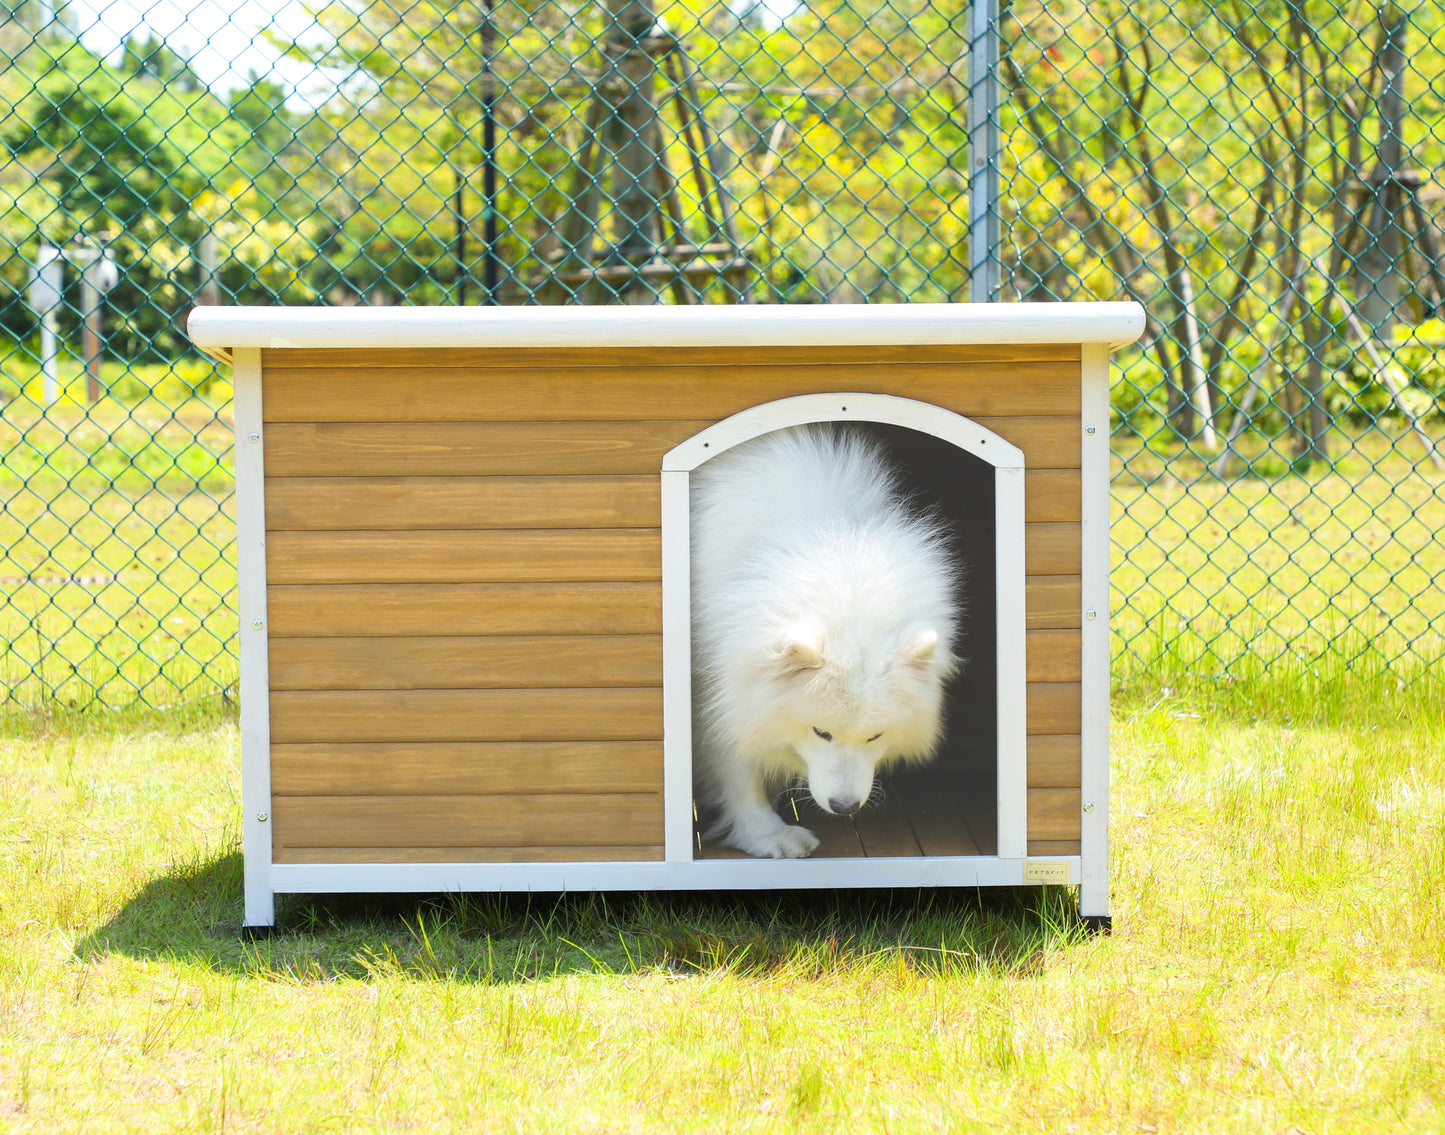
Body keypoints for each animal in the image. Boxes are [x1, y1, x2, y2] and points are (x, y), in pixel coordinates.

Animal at [687, 425, 959, 861]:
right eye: (821, 732)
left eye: (875, 736)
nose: (844, 806)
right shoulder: (717, 693)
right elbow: (738, 764)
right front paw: (766, 834)